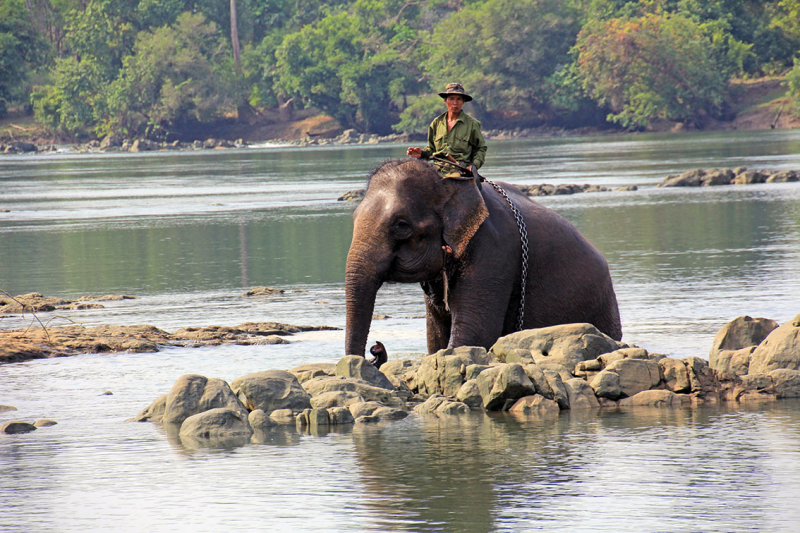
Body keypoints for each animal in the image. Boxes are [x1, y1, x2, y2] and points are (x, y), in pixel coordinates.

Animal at [342, 158, 620, 358]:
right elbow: (436, 338)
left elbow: (473, 335)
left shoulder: (493, 251)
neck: (449, 183)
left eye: (401, 225)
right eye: (353, 218)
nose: (376, 349)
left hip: (602, 309)